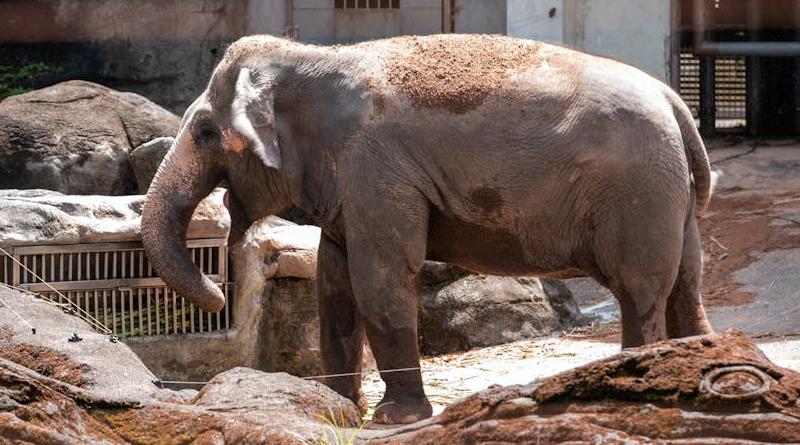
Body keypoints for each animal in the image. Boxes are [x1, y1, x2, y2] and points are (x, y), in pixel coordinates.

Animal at [141, 34, 714, 425]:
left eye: (205, 131)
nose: (218, 291)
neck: (310, 57)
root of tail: (676, 104)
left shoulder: (376, 167)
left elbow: (380, 276)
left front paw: (394, 419)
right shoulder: (352, 185)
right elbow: (333, 284)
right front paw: (338, 408)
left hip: (638, 193)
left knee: (640, 288)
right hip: (670, 195)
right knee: (685, 282)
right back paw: (694, 366)